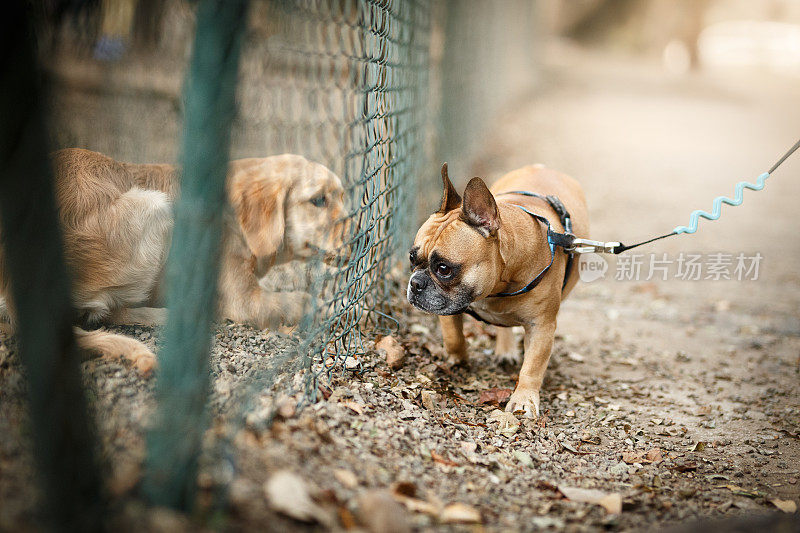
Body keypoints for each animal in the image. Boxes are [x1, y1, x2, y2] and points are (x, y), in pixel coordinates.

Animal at [0, 148, 344, 372]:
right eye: (318, 200)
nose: (357, 240)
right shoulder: (246, 301)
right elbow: (302, 301)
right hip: (155, 206)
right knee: (106, 312)